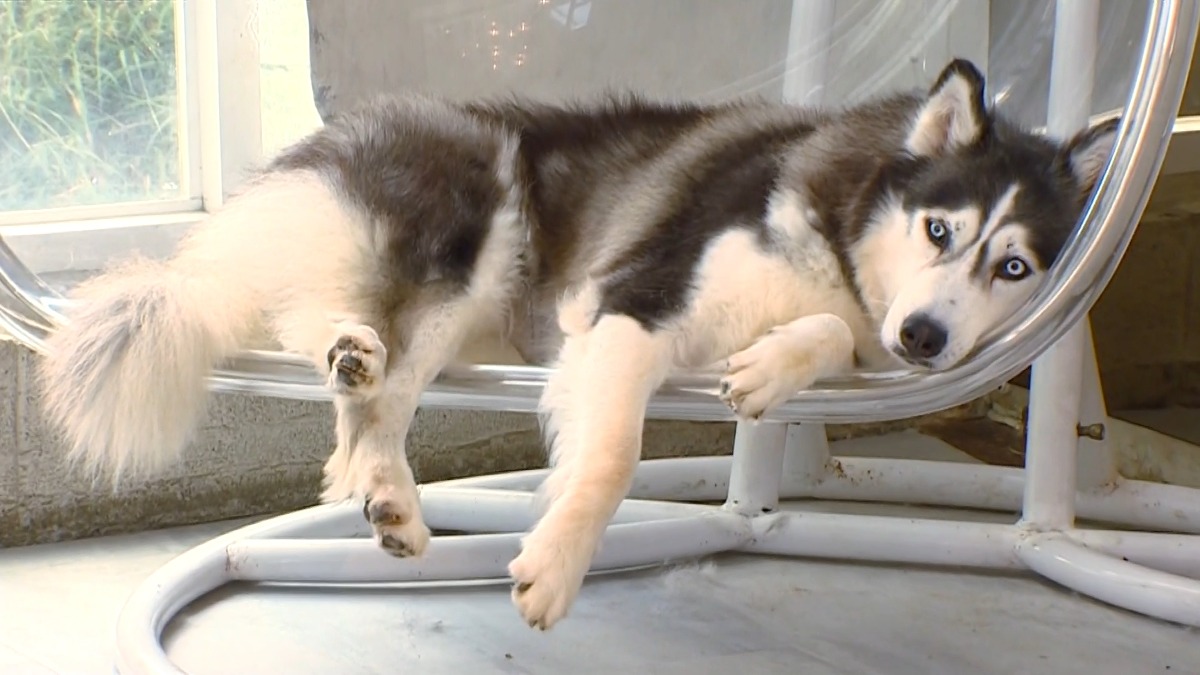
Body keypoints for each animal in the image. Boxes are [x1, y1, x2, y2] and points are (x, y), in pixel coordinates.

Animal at [42, 60, 1118, 629]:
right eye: (940, 230)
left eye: (1014, 266)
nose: (927, 337)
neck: (844, 239)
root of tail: (305, 156)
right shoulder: (628, 304)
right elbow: (609, 457)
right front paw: (556, 565)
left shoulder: (849, 336)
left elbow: (823, 338)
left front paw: (770, 366)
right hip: (481, 234)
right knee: (369, 375)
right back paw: (369, 408)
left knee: (351, 389)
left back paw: (372, 452)